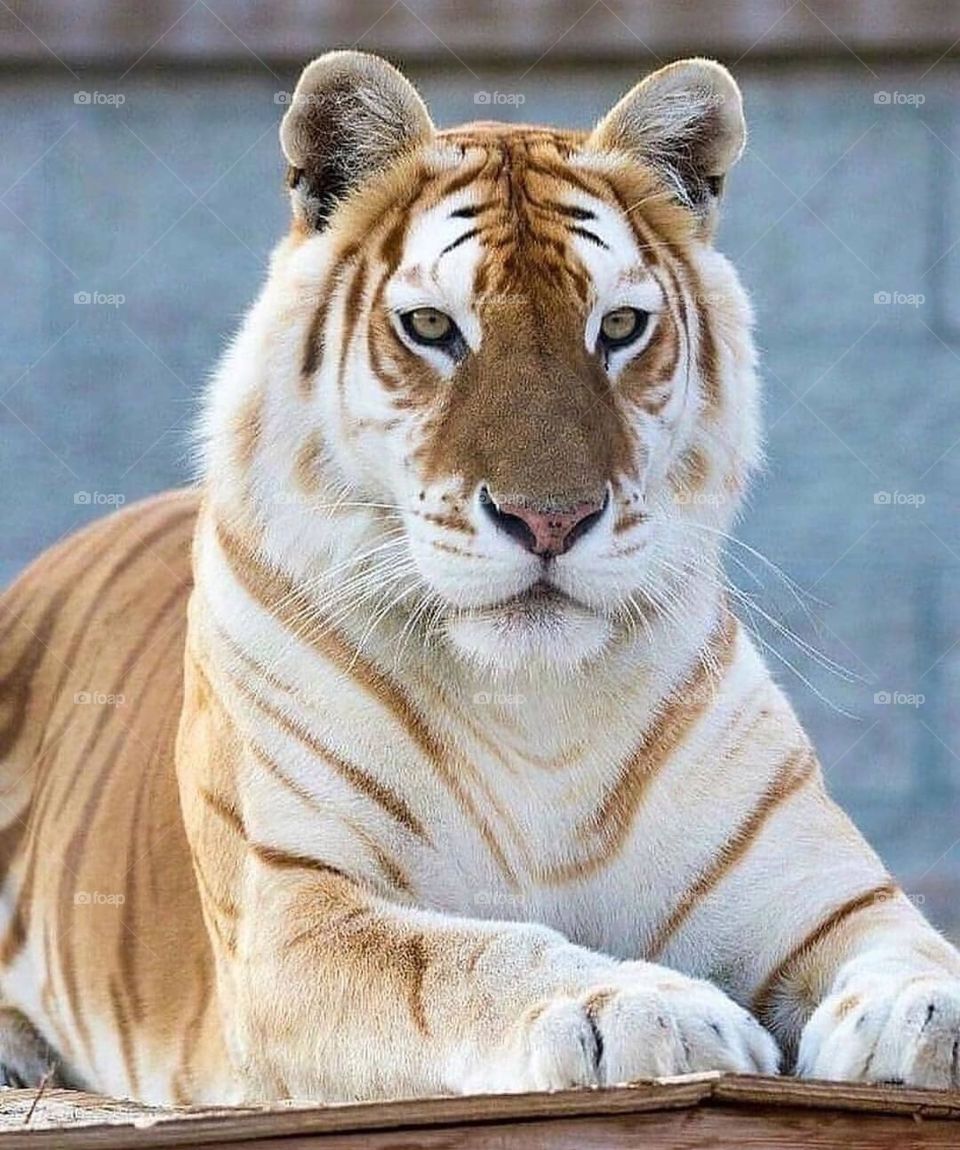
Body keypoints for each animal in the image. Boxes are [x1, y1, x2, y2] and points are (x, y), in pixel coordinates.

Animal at [1, 50, 959, 1107]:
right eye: (430, 326)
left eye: (619, 327)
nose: (551, 520)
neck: (534, 710)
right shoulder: (296, 910)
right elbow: (472, 957)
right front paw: (641, 1007)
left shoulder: (822, 892)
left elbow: (911, 944)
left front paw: (925, 1009)